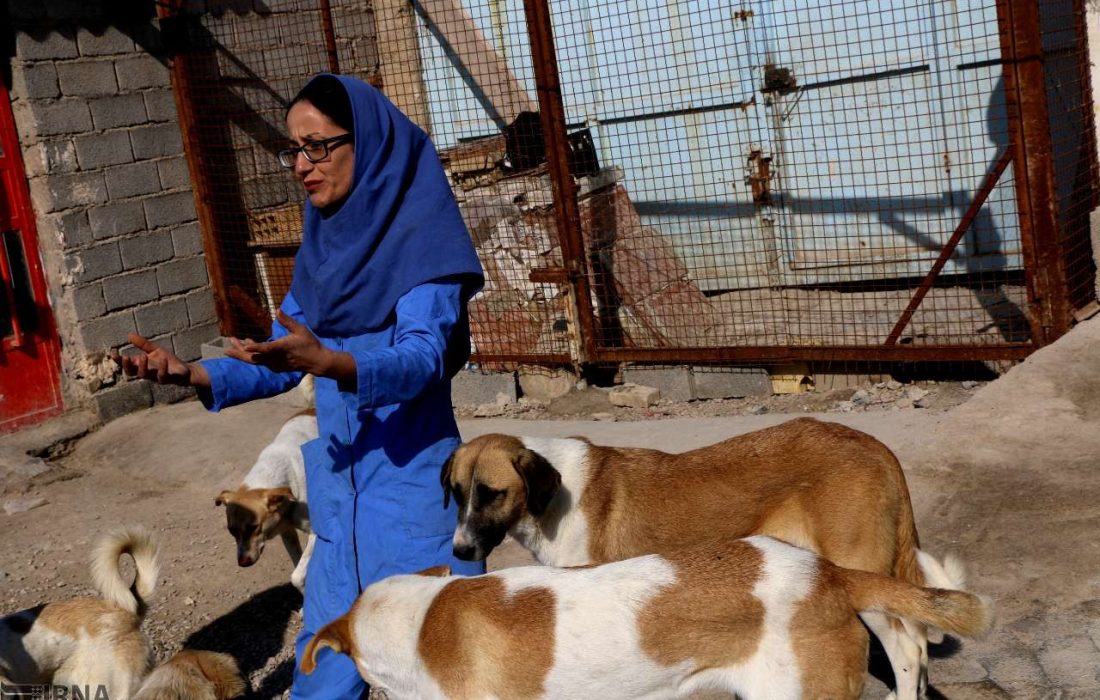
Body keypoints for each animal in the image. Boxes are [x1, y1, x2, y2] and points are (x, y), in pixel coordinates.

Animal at [214, 407, 316, 594]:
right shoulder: (287, 534)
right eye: (231, 531)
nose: (243, 563)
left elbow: (297, 576)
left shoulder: (315, 532)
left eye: (253, 527)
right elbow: (297, 564)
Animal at [442, 418, 941, 695]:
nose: (460, 550)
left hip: (862, 574)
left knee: (908, 648)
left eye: (493, 494)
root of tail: (874, 445)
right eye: (458, 492)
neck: (552, 496)